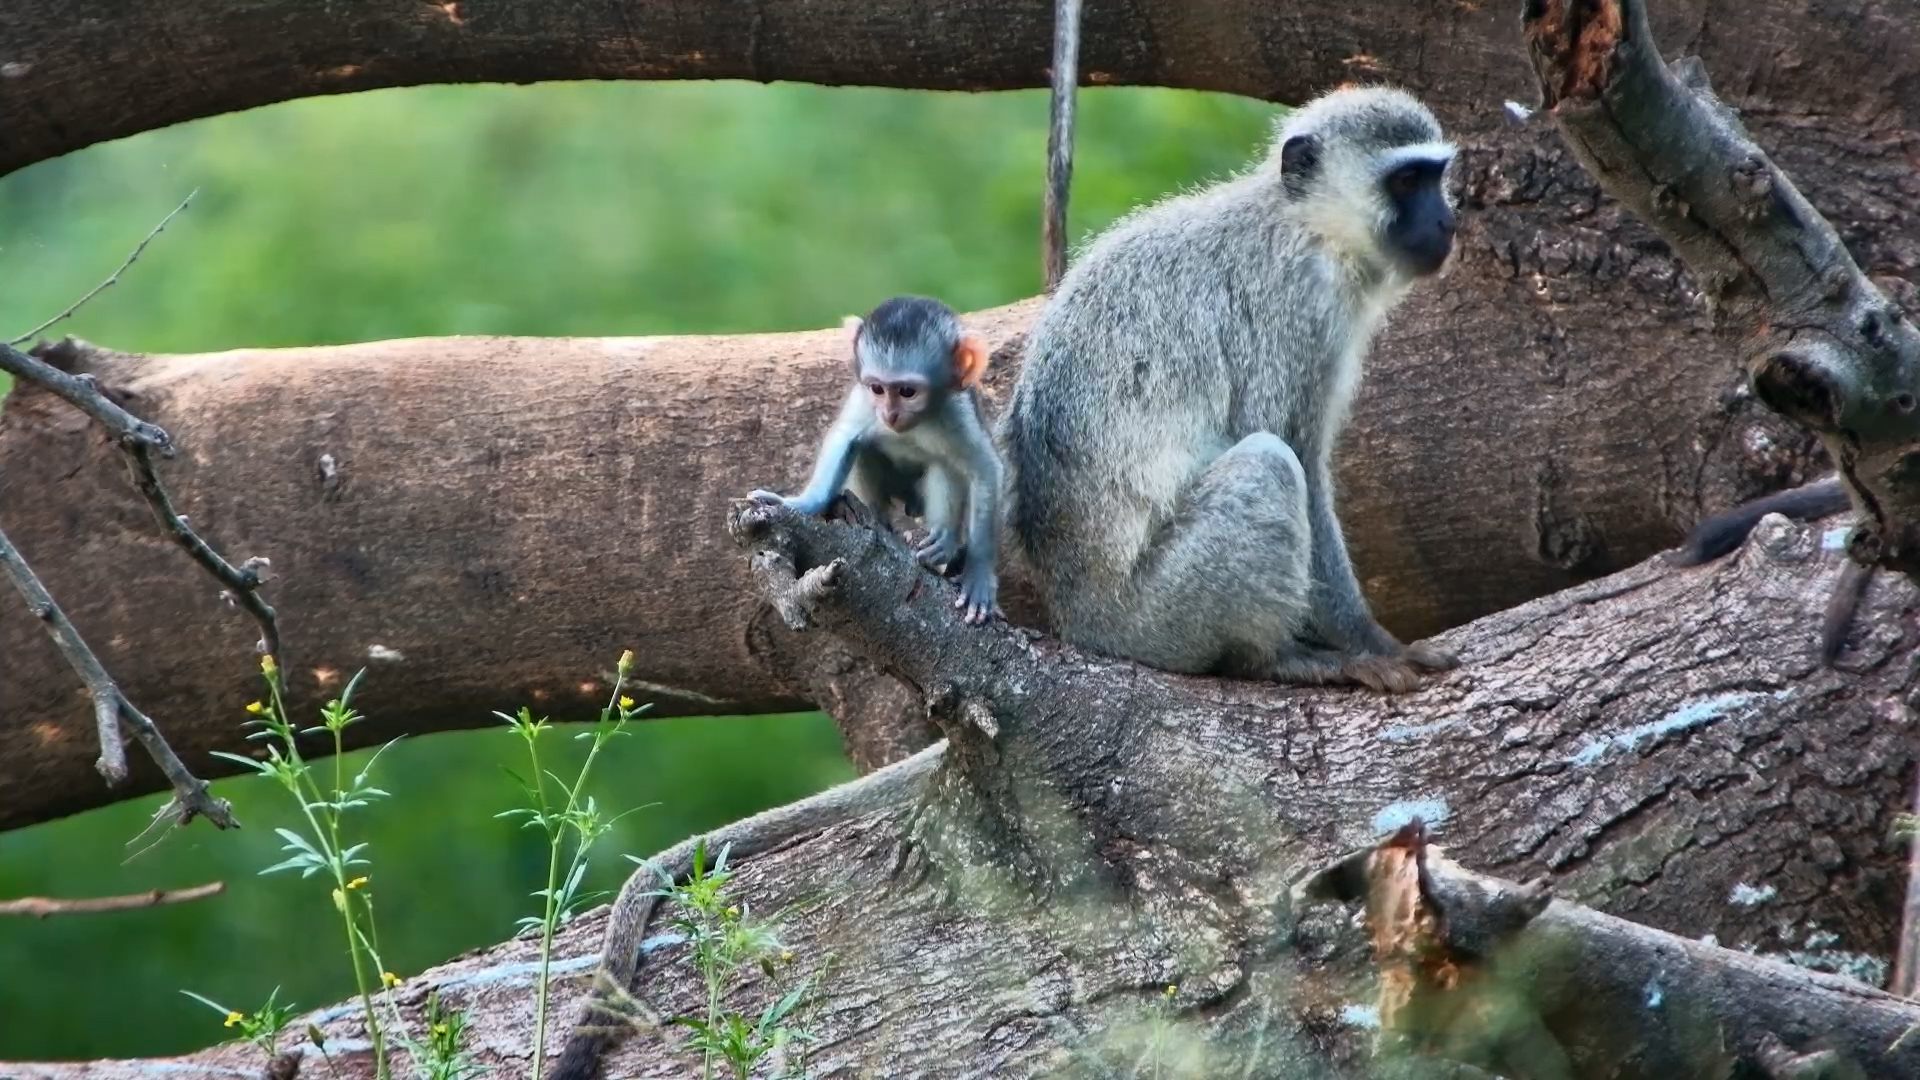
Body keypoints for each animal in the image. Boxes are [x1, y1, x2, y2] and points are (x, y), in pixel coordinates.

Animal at [751, 295, 1004, 625]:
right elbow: (844, 437)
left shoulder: (956, 408)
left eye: (907, 391)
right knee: (866, 448)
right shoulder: (863, 397)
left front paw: (979, 574)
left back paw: (942, 543)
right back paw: (881, 521)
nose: (889, 413)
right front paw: (798, 504)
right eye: (878, 388)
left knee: (944, 464)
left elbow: (985, 469)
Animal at [997, 85, 1461, 694]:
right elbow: (1295, 454)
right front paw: (1373, 642)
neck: (1305, 225)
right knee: (1267, 463)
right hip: (1157, 615)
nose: (1448, 221)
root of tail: (1082, 621)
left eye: (1436, 177)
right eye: (1405, 181)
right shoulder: (1297, 310)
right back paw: (1272, 659)